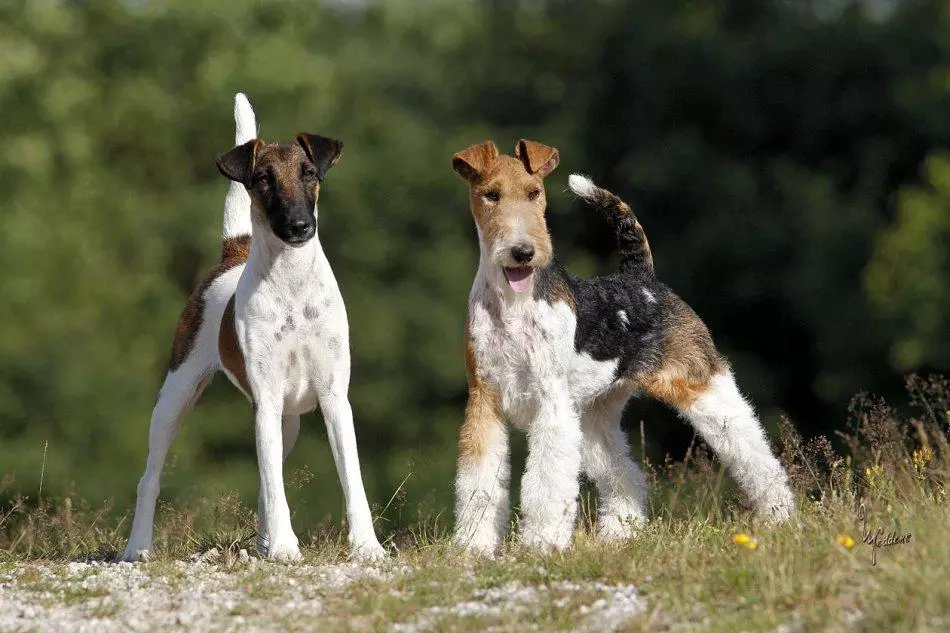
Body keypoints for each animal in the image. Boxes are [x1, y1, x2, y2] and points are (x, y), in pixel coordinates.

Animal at [121, 95, 384, 564]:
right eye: (262, 179)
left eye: (310, 173)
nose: (300, 226)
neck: (292, 285)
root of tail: (233, 252)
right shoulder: (266, 396)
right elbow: (275, 486)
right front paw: (284, 547)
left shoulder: (335, 398)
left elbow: (352, 481)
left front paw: (367, 547)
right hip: (176, 396)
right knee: (151, 477)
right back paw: (138, 547)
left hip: (286, 422)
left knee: (267, 479)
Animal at [454, 142, 796, 552]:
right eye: (491, 195)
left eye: (534, 193)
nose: (523, 251)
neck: (512, 303)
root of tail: (643, 278)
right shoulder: (484, 402)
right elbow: (479, 484)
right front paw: (473, 548)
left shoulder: (551, 405)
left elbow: (546, 485)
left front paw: (542, 544)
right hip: (595, 414)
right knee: (625, 476)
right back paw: (621, 533)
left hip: (701, 385)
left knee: (756, 454)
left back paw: (779, 516)